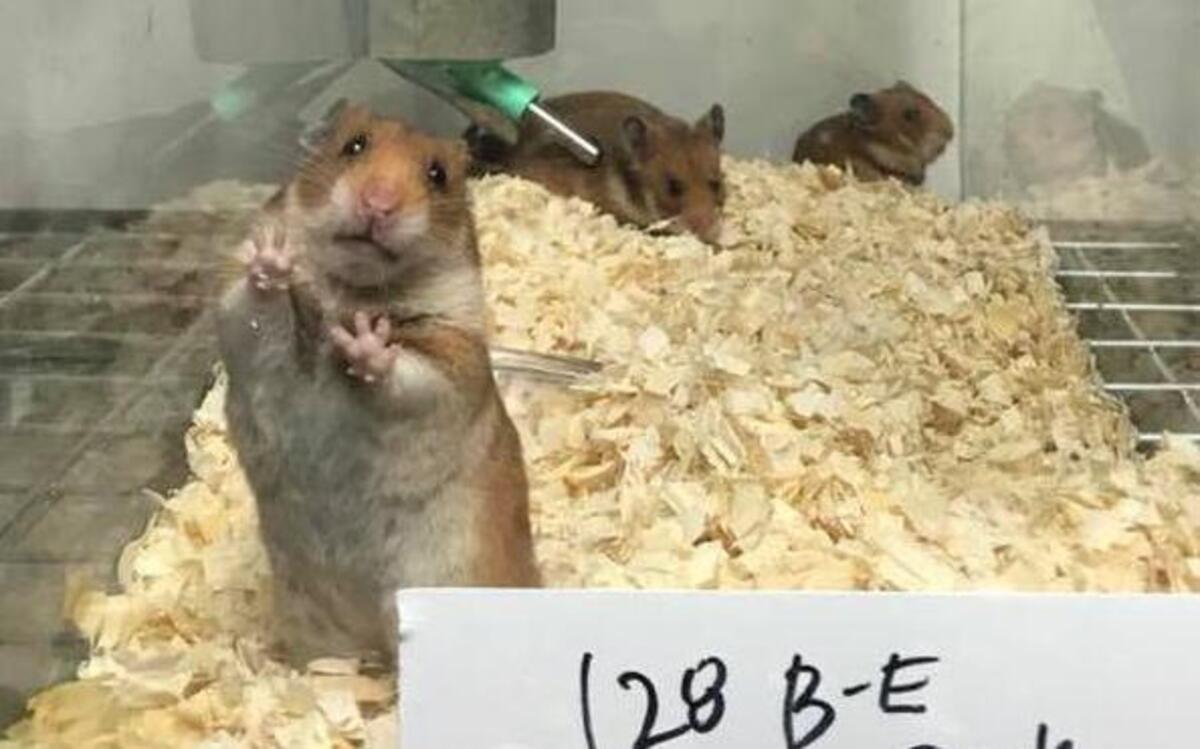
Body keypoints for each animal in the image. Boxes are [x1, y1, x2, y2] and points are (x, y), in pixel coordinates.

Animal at [216, 103, 540, 667]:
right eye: (354, 146)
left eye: (438, 175)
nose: (378, 204)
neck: (354, 289)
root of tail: (371, 637)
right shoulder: (244, 332)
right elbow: (251, 305)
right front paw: (275, 263)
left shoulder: (451, 363)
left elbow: (402, 371)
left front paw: (363, 342)